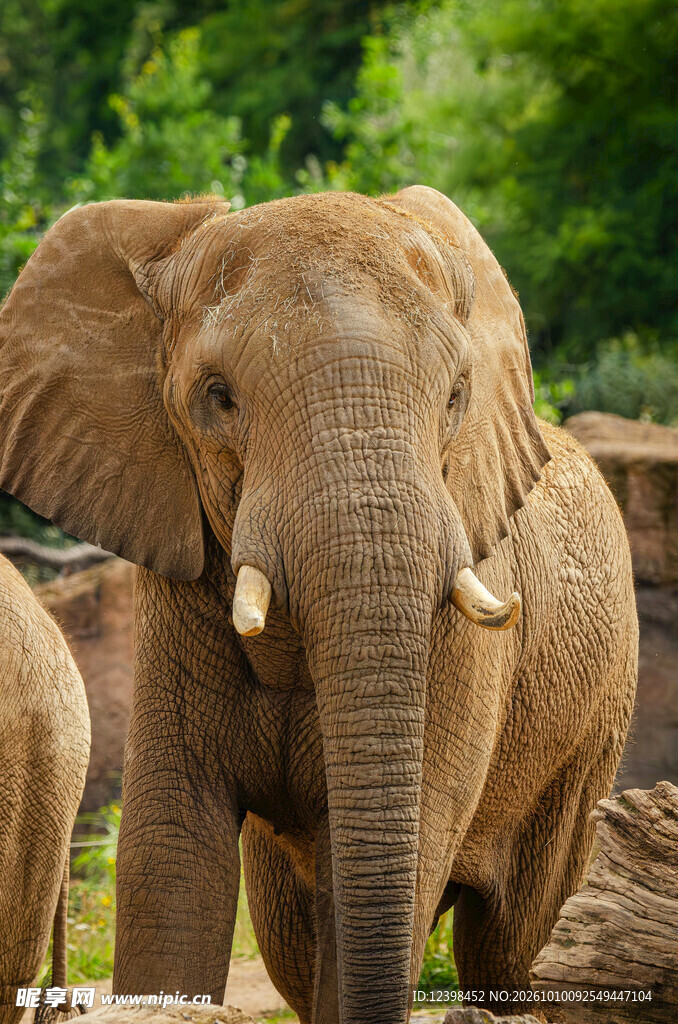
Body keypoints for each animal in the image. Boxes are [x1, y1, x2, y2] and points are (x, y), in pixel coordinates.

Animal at [0, 186, 637, 1024]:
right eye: (218, 398)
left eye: (456, 397)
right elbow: (172, 850)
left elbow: (401, 841)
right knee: (293, 939)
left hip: (590, 731)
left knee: (513, 946)